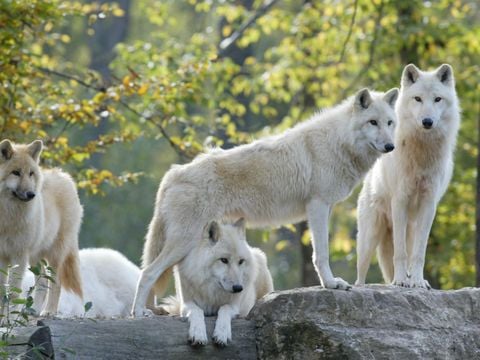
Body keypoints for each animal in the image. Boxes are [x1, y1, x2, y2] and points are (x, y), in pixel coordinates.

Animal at [0, 140, 83, 316]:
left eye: (31, 173)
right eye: (16, 173)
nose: (32, 195)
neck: (6, 214)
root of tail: (65, 176)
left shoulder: (19, 255)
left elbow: (13, 292)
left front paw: (7, 319)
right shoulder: (3, 256)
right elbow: (2, 291)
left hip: (54, 255)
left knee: (55, 282)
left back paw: (49, 311)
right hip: (35, 258)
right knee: (43, 281)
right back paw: (34, 311)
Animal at [131, 86, 398, 316]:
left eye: (390, 122)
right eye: (372, 122)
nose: (390, 146)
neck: (338, 142)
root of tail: (173, 173)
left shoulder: (326, 207)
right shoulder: (318, 205)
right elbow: (321, 254)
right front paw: (331, 284)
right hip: (183, 241)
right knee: (147, 272)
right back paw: (139, 313)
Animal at [161, 218, 274, 348]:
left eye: (241, 261)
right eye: (224, 260)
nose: (238, 288)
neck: (212, 291)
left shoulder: (234, 306)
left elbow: (224, 309)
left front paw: (221, 334)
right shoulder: (186, 304)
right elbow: (197, 311)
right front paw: (198, 334)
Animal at [356, 64, 462, 288]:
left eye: (437, 99)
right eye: (418, 99)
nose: (427, 121)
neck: (422, 152)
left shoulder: (429, 204)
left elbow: (419, 253)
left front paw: (418, 282)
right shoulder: (400, 200)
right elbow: (401, 253)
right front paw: (400, 281)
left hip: (410, 228)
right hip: (369, 239)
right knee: (361, 273)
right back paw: (360, 286)